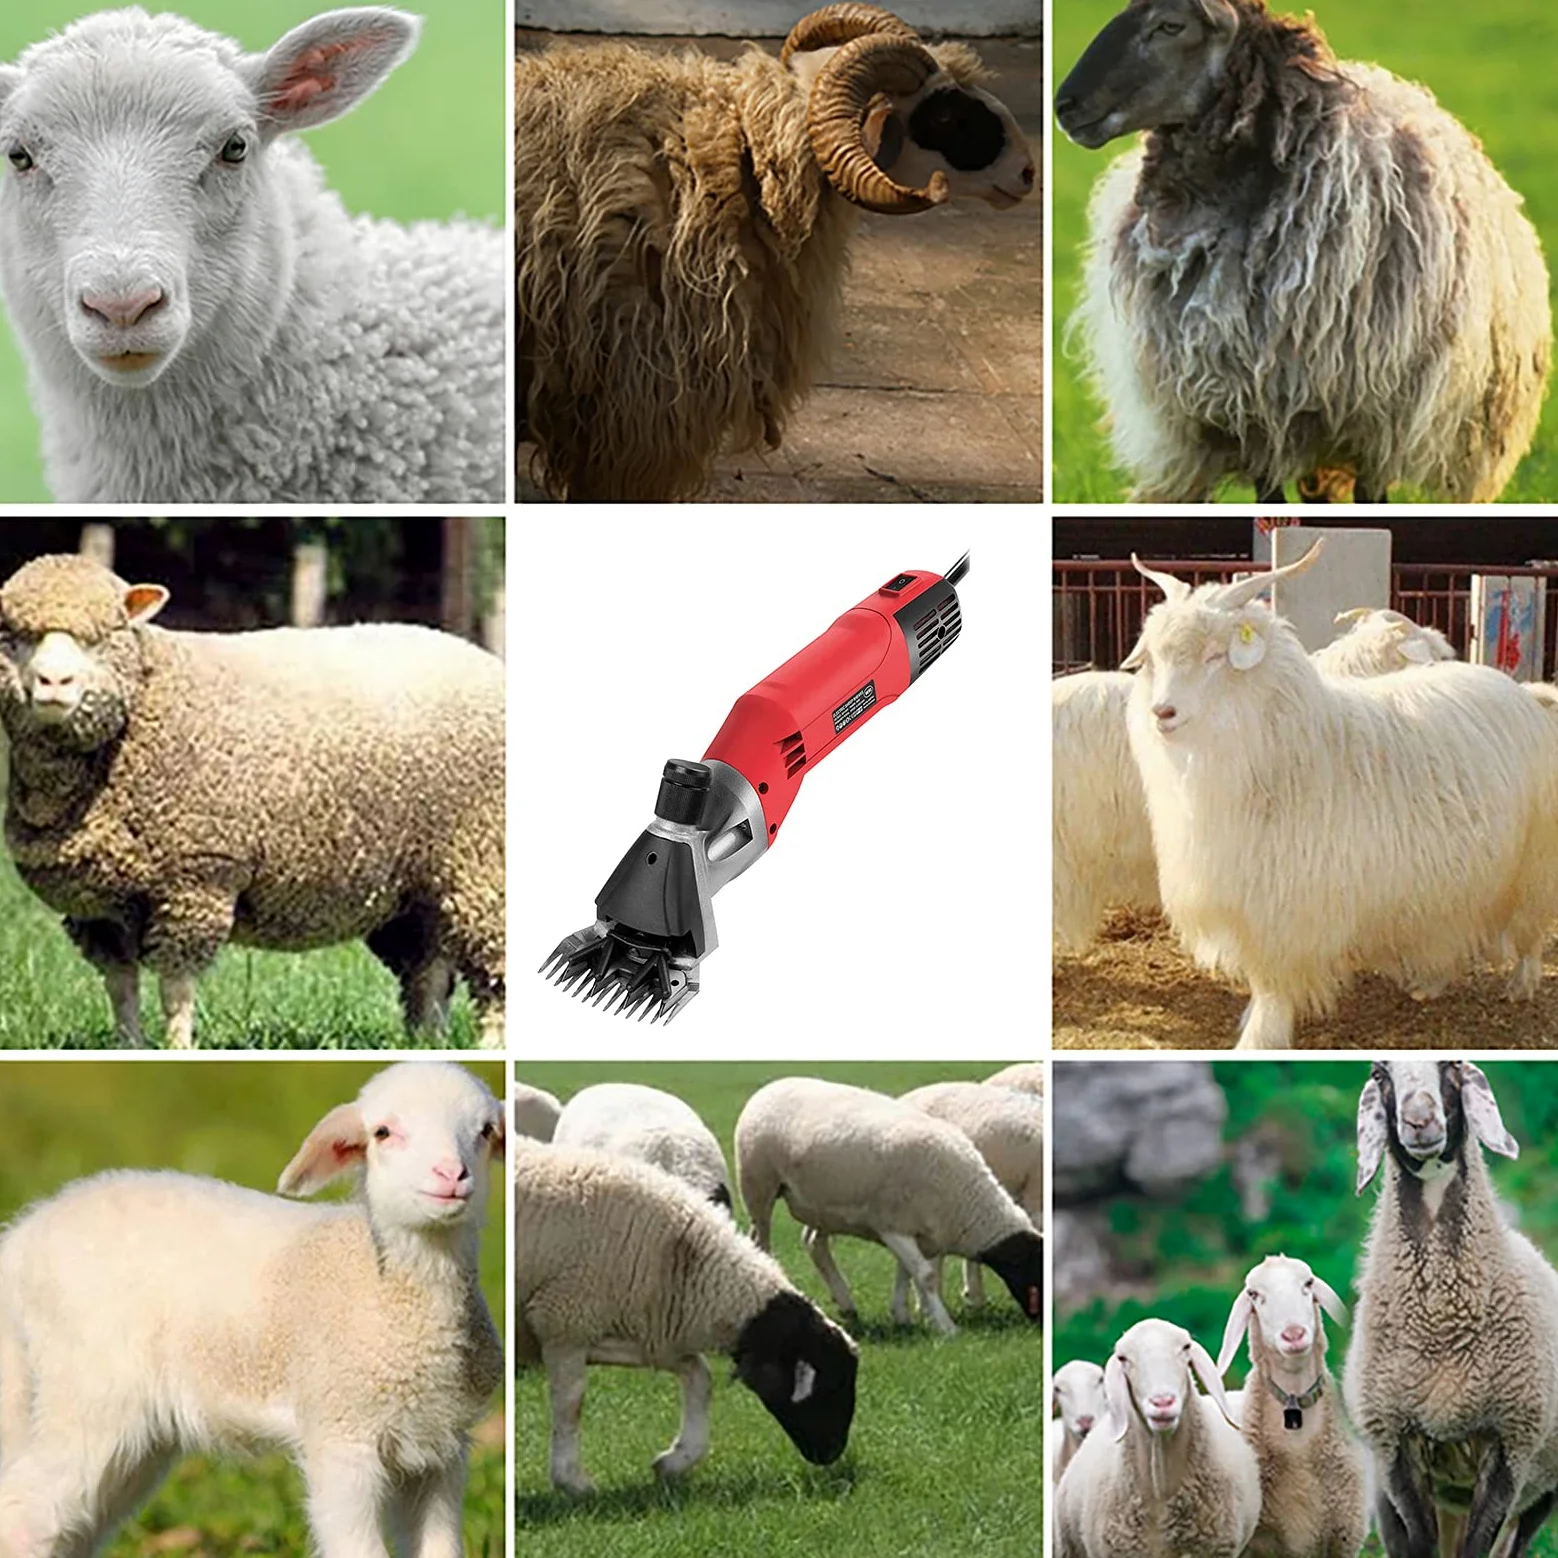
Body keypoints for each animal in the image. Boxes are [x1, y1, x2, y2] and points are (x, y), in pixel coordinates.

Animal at [0, 554, 505, 1049]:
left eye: (103, 637)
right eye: (12, 638)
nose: (53, 682)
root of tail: (484, 659)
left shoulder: (196, 881)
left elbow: (175, 990)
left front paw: (177, 1049)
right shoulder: (100, 907)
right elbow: (121, 988)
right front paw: (130, 1049)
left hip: (482, 864)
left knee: (492, 969)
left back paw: (489, 1046)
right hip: (418, 889)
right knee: (430, 972)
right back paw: (427, 1043)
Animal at [0, 1061, 505, 1557]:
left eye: (485, 1131)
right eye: (382, 1132)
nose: (451, 1175)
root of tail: (22, 1237)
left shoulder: (440, 1448)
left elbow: (439, 1548)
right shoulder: (341, 1434)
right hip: (89, 1387)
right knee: (24, 1514)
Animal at [514, 1140, 859, 1494]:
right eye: (830, 1386)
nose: (832, 1454)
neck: (682, 1258)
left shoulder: (635, 1334)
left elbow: (700, 1376)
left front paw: (674, 1462)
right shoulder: (562, 1321)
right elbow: (571, 1403)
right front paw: (572, 1481)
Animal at [1123, 541, 1558, 1048]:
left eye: (1215, 656)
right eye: (1153, 659)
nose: (1162, 712)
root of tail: (1526, 694)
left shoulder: (1285, 910)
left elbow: (1272, 985)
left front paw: (1260, 1036)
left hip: (1532, 865)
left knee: (1529, 931)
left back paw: (1522, 983)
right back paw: (1429, 983)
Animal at [1344, 1059, 1558, 1558]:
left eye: (1453, 1066)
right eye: (1379, 1073)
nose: (1419, 1120)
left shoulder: (1509, 1445)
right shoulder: (1396, 1448)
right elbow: (1419, 1546)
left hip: (1539, 1490)